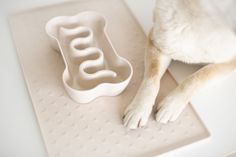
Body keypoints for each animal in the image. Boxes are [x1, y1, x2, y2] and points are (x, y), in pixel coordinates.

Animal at [122, 0, 236, 129]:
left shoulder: (230, 61)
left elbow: (194, 79)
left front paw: (170, 106)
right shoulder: (158, 43)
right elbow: (152, 80)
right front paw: (139, 109)